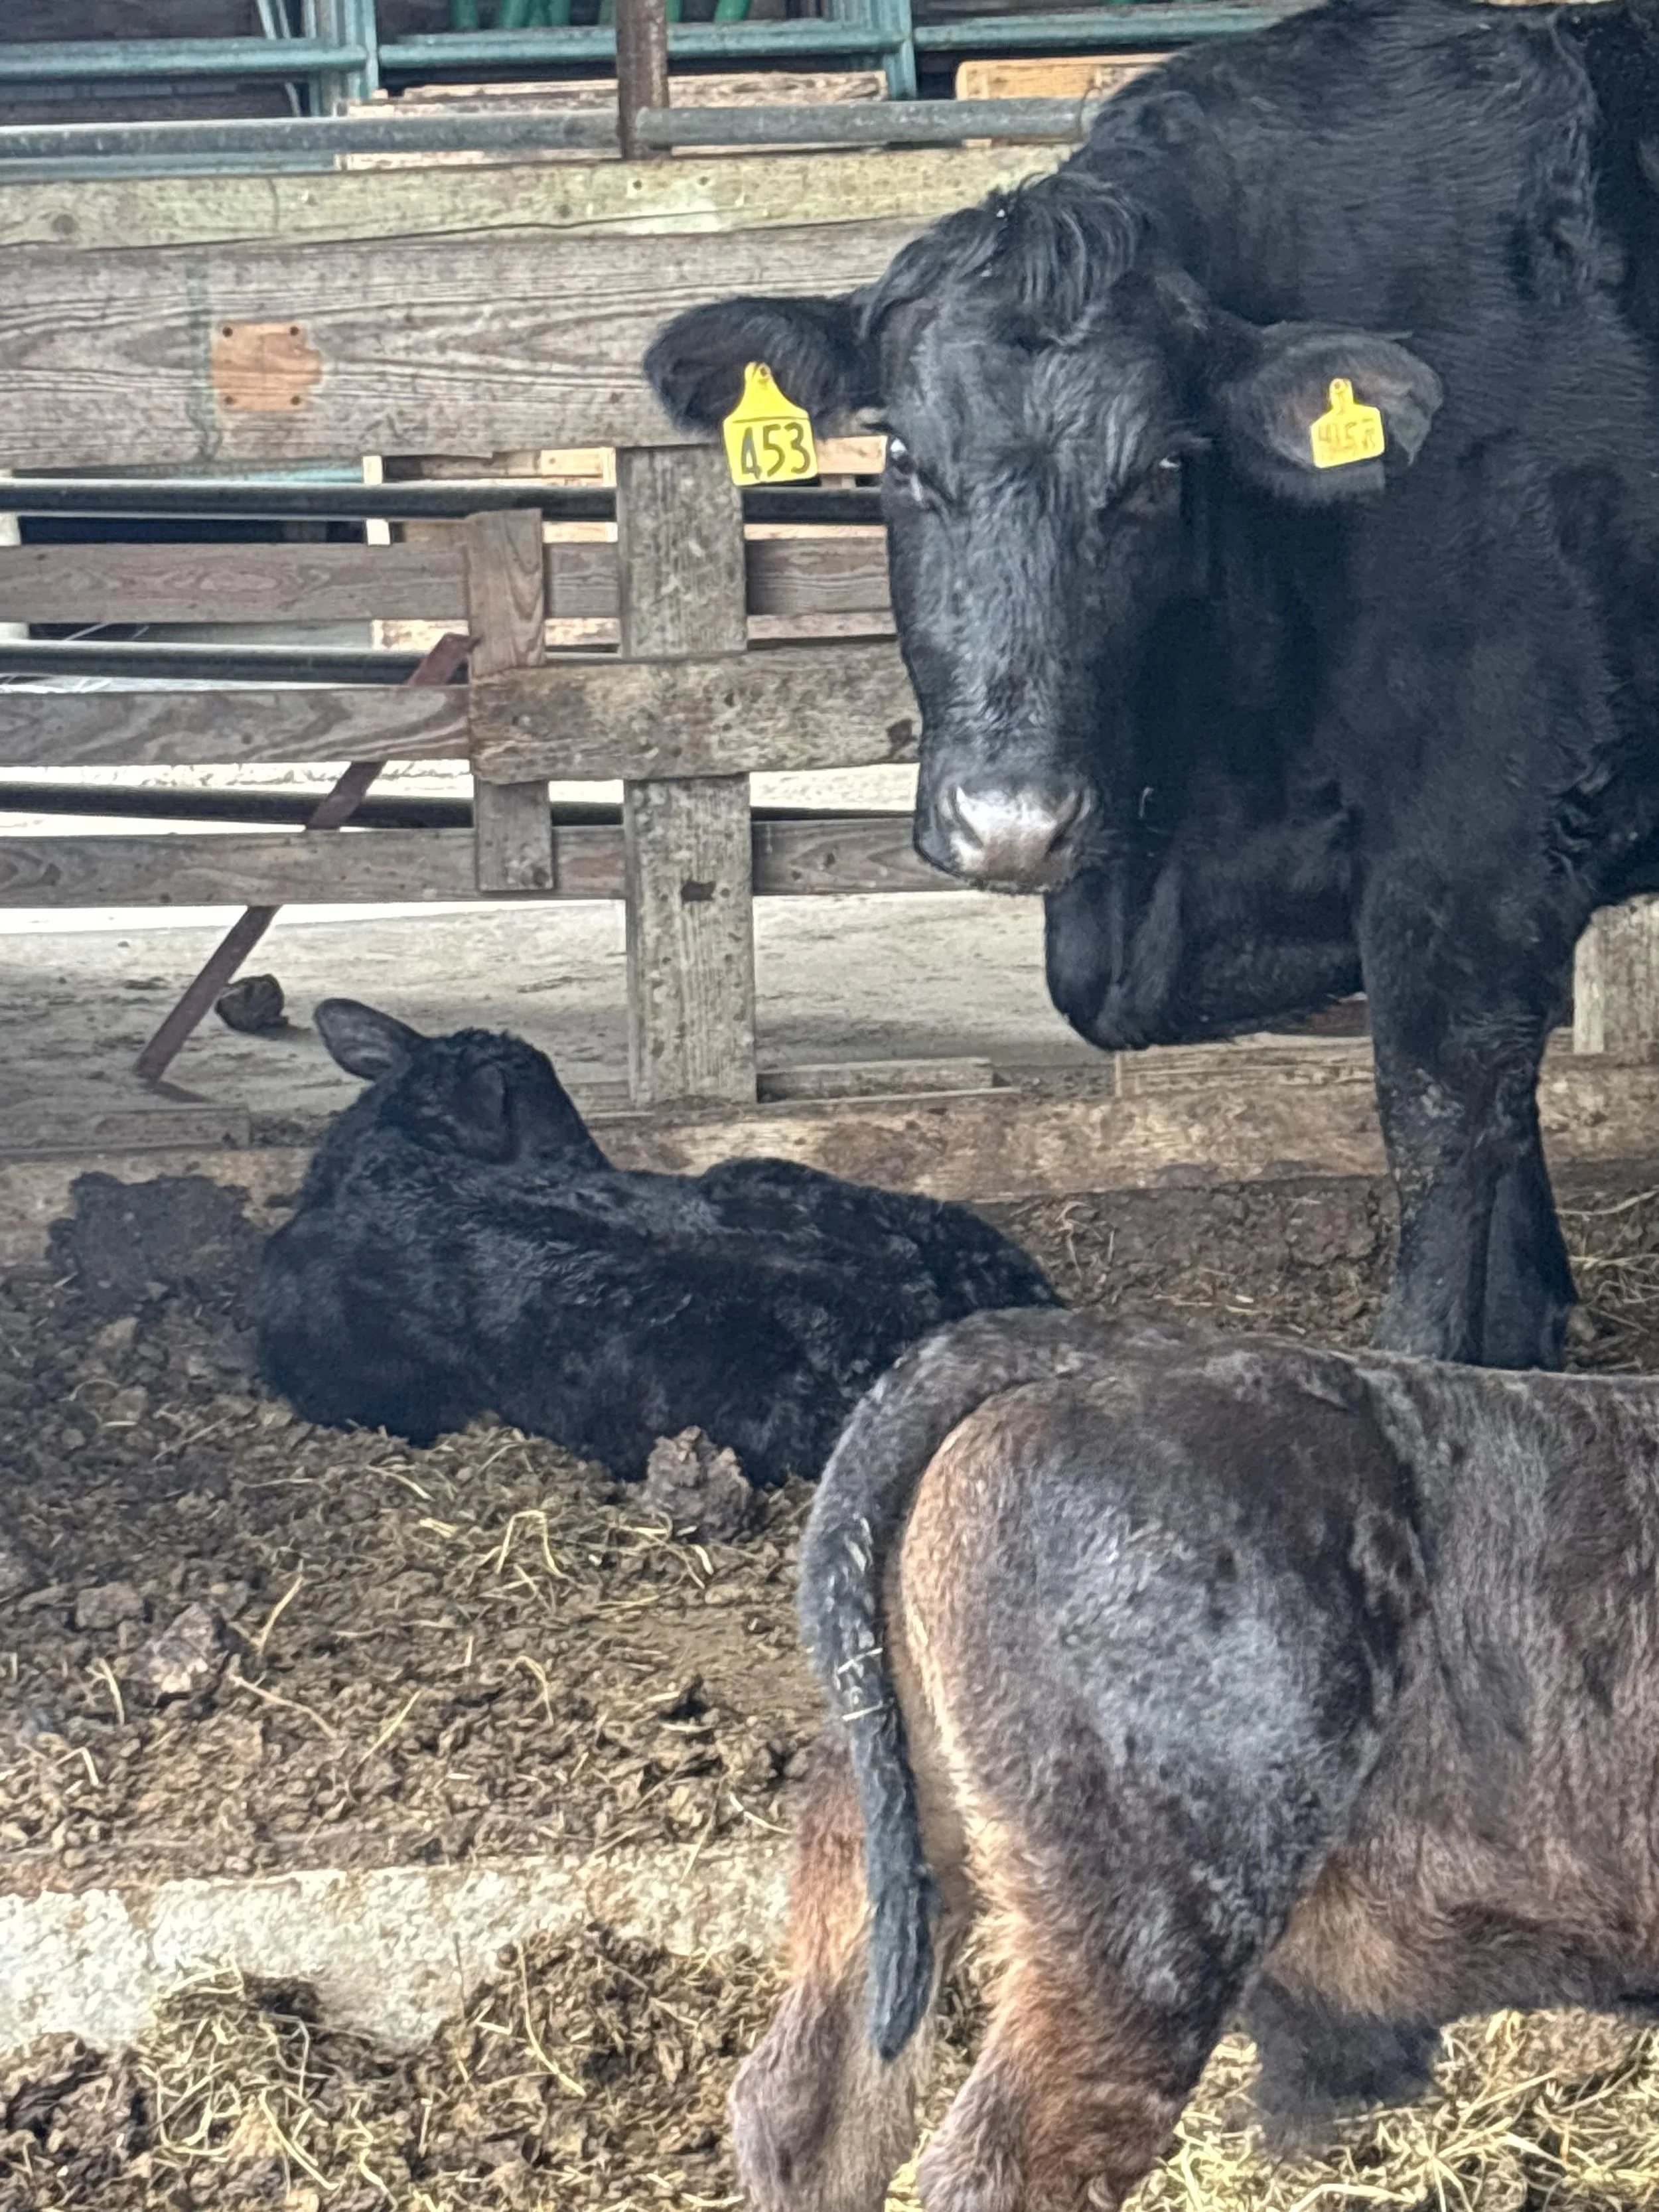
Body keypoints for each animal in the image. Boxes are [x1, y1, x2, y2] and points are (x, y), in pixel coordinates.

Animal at [645, 0, 1659, 1375]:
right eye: (902, 457)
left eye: (1161, 470)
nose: (1013, 822)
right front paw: (1527, 1327)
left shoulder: (1478, 834)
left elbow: (1446, 1121)